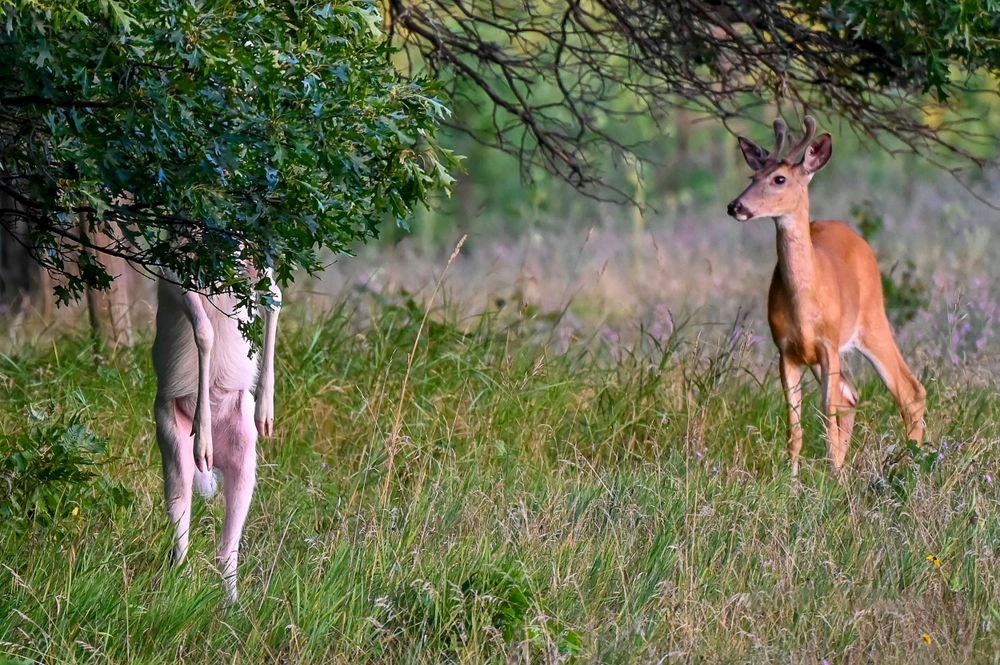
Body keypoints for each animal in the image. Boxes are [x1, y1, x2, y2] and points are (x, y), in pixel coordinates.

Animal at [152, 269, 280, 603]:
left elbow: (274, 295)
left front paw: (266, 413)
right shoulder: (172, 272)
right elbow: (204, 331)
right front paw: (203, 437)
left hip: (245, 449)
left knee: (228, 544)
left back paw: (233, 603)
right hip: (169, 434)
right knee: (180, 515)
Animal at [726, 116, 926, 475]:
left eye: (779, 178)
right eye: (752, 177)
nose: (736, 206)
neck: (806, 304)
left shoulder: (828, 343)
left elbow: (825, 419)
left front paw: (830, 478)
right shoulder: (787, 350)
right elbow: (796, 428)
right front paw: (792, 480)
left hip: (872, 319)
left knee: (909, 390)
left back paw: (907, 467)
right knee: (850, 396)